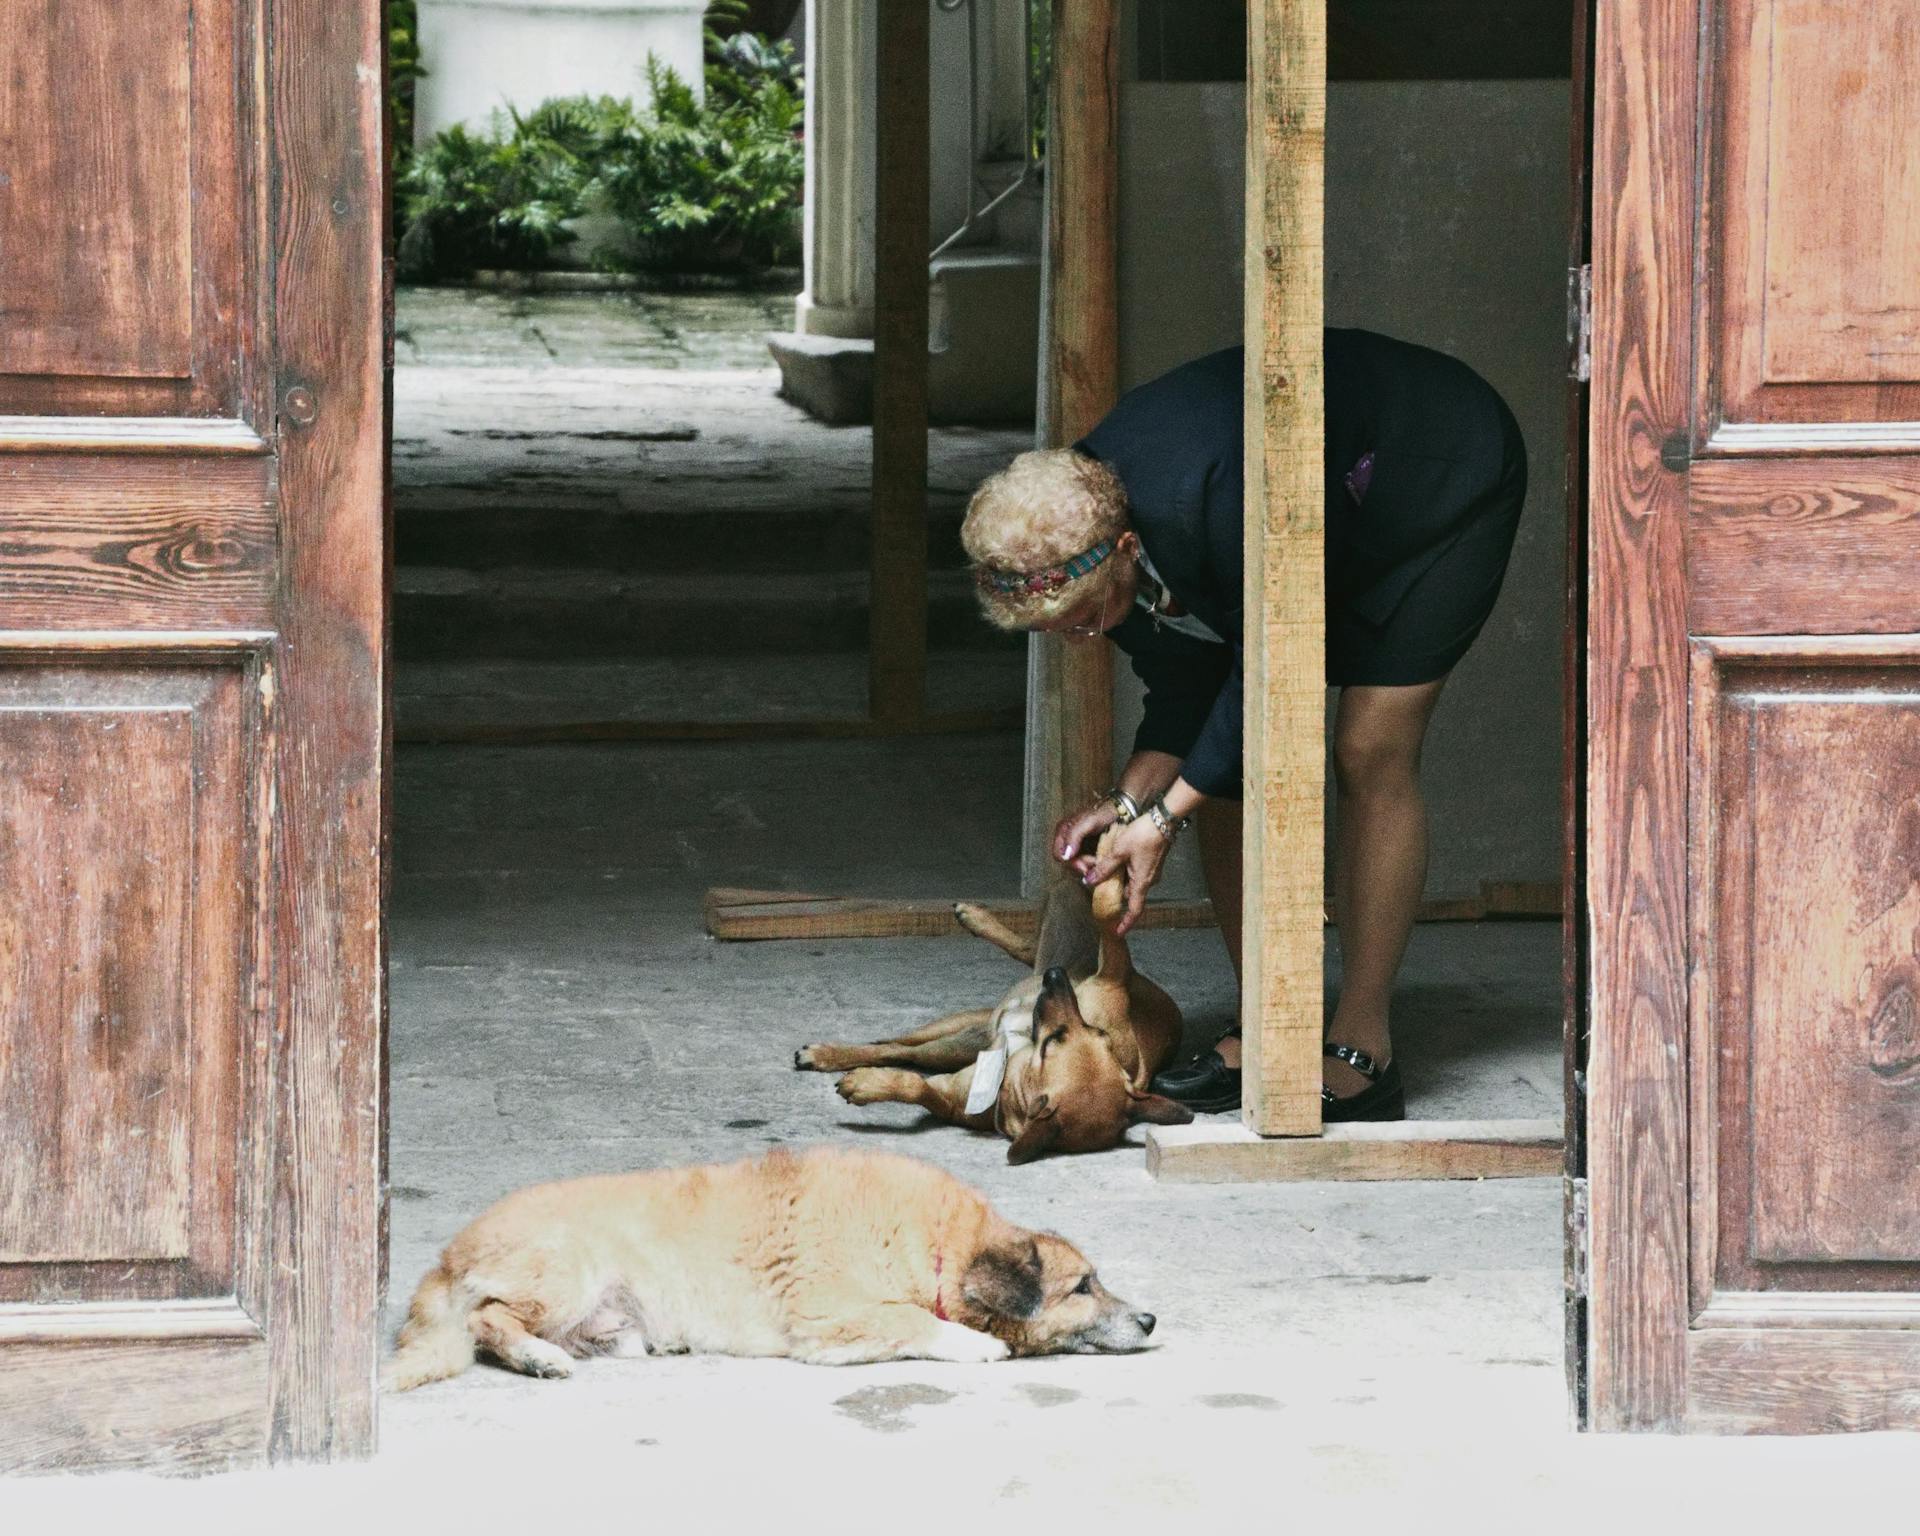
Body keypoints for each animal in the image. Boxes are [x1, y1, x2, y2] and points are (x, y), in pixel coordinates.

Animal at [380, 1144, 1144, 1382]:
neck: (937, 1246)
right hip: (567, 1270)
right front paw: (973, 1343)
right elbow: (911, 1321)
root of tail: (448, 1257)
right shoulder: (830, 1318)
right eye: (1083, 1286)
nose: (1151, 1320)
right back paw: (538, 1357)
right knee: (487, 1320)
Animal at [791, 840, 1182, 1167]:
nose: (1056, 979)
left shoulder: (947, 1097)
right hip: (970, 1020)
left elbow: (915, 1084)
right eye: (1098, 1035)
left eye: (1053, 1042)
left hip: (957, 1041)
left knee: (900, 1050)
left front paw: (865, 1084)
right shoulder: (1110, 978)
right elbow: (1108, 911)